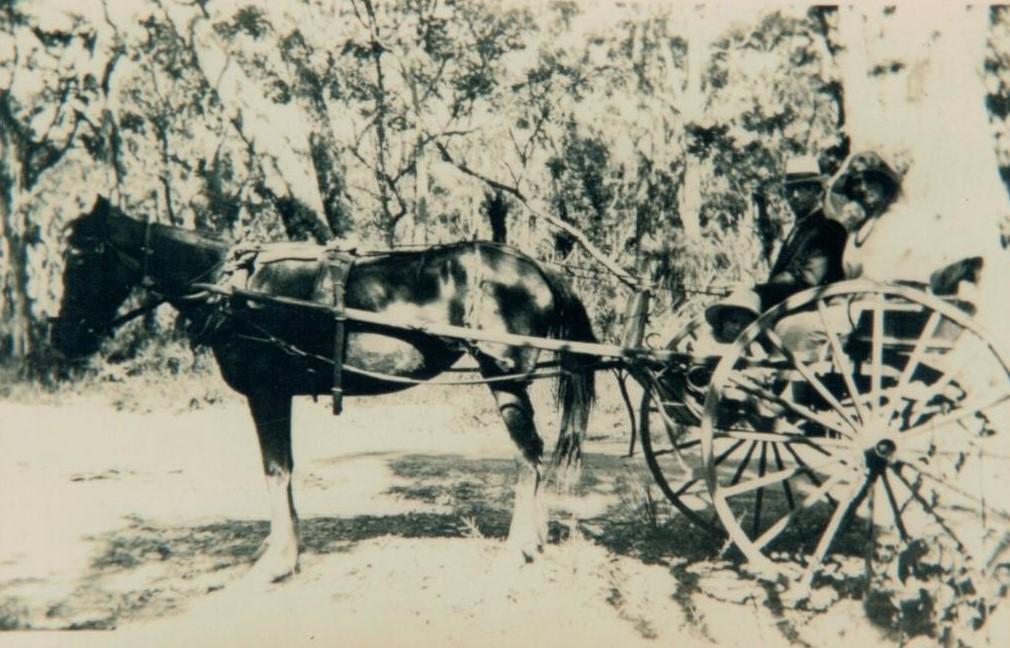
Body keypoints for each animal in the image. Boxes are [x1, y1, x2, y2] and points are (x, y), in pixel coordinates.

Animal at [53, 195, 589, 581]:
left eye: (79, 259)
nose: (62, 338)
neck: (239, 290)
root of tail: (537, 267)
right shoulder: (274, 397)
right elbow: (283, 472)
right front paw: (280, 549)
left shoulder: (266, 394)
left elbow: (276, 471)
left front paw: (277, 560)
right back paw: (535, 539)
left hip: (505, 379)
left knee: (528, 455)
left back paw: (519, 546)